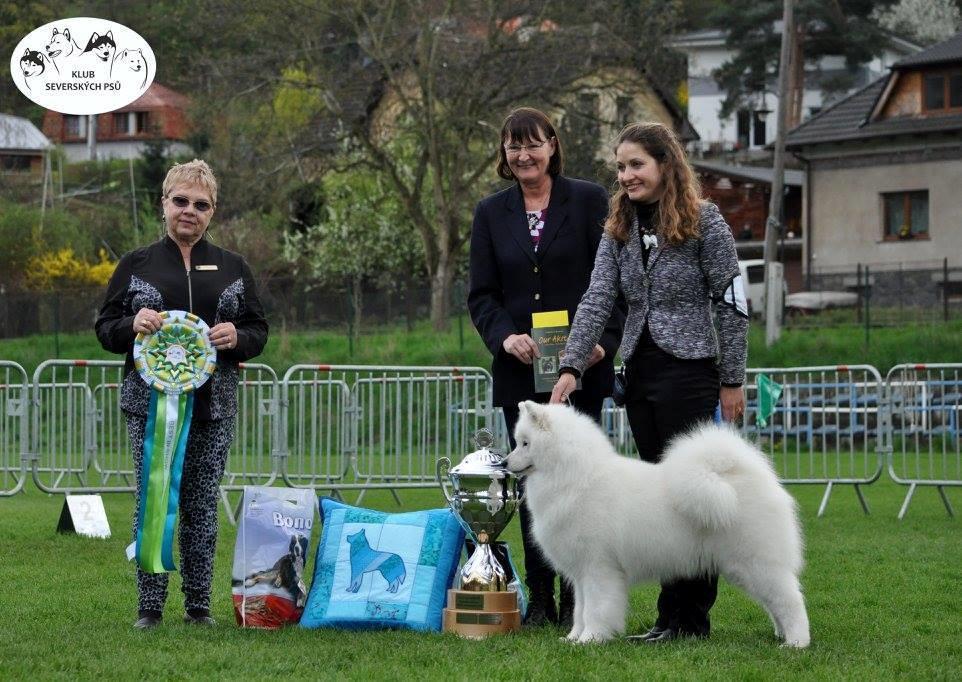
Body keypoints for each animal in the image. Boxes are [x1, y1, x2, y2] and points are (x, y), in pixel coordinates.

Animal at [506, 402, 808, 644]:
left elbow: (596, 609)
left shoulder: (598, 568)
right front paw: (573, 638)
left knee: (790, 600)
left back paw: (796, 643)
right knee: (775, 603)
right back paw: (781, 635)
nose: (505, 463)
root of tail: (755, 477)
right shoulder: (580, 573)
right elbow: (580, 610)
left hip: (755, 562)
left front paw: (591, 639)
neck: (575, 477)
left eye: (525, 443)